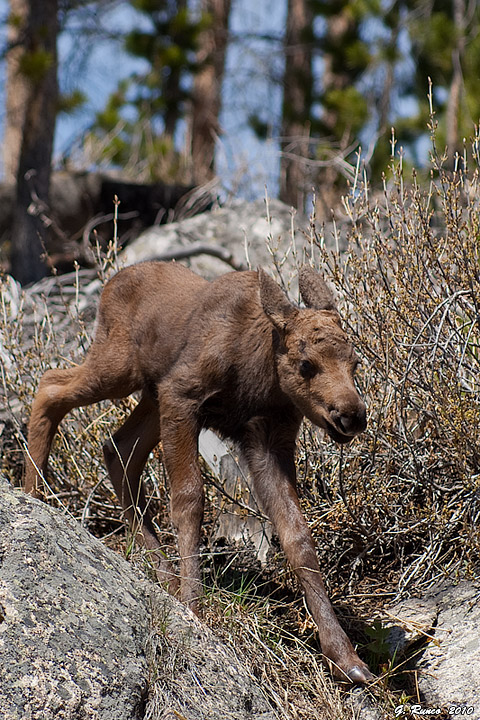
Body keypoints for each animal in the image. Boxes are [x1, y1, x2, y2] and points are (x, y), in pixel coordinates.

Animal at [25, 260, 372, 684]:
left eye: (355, 363)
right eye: (307, 365)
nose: (351, 415)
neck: (261, 376)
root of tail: (110, 283)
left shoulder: (268, 438)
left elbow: (297, 534)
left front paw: (345, 657)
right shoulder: (182, 395)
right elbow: (189, 500)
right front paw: (195, 606)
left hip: (149, 392)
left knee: (118, 448)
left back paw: (166, 577)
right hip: (121, 368)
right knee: (50, 386)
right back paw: (33, 495)